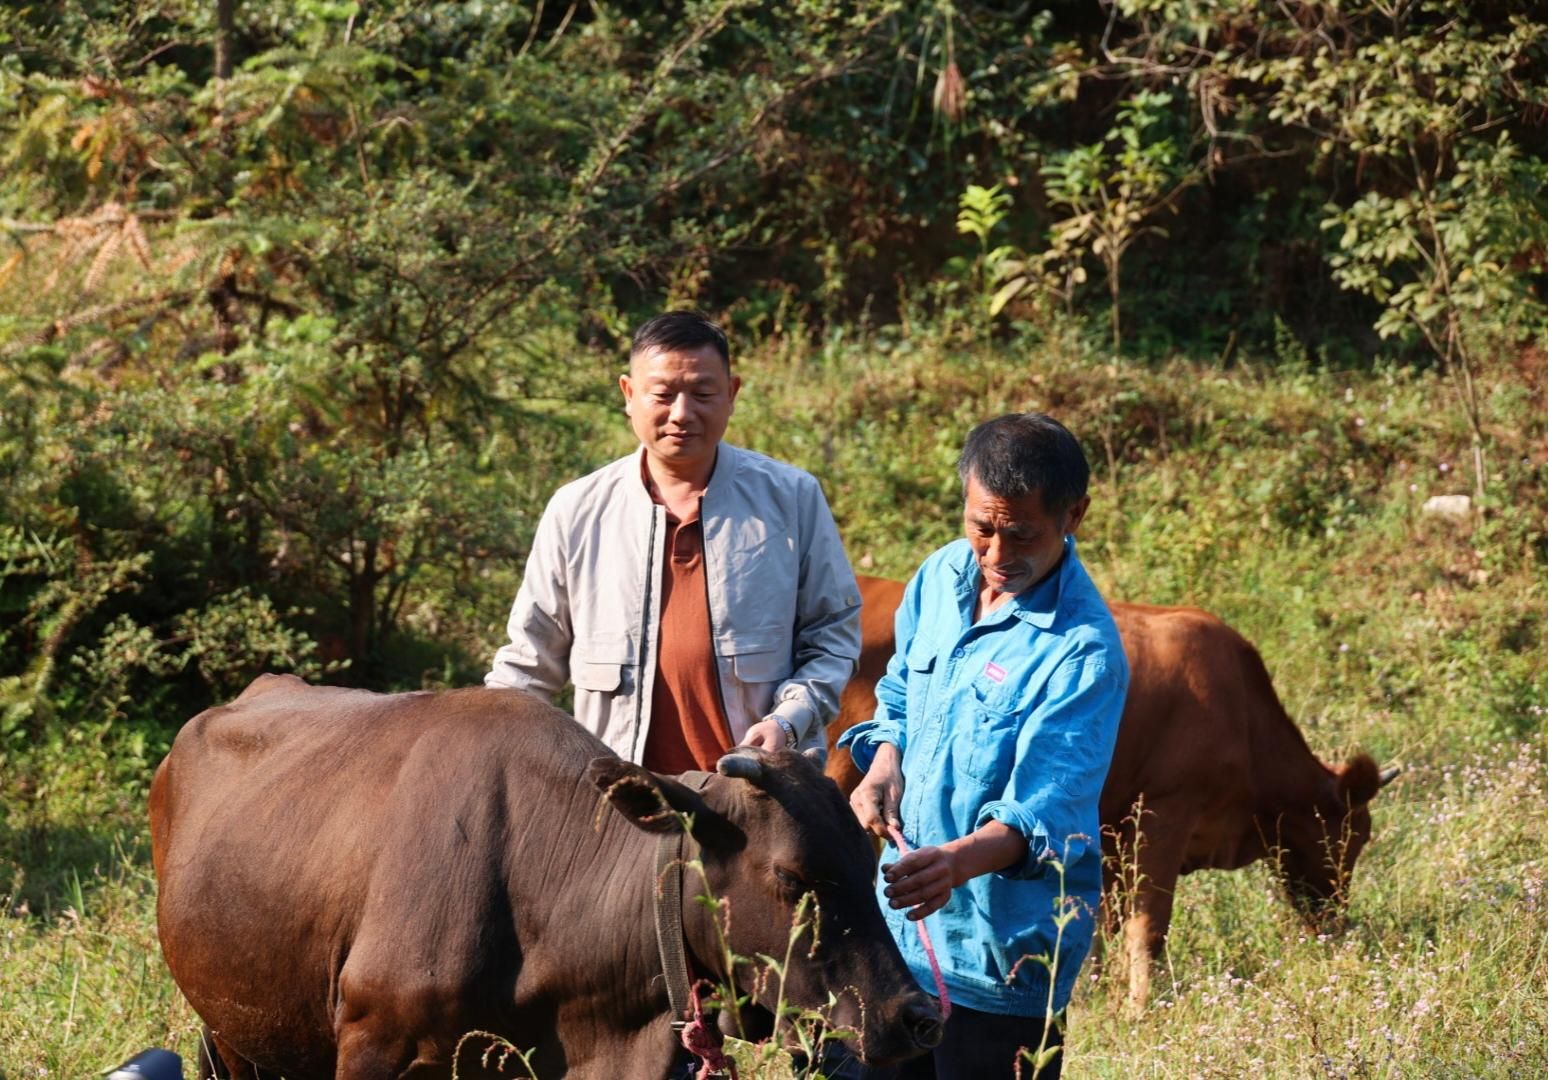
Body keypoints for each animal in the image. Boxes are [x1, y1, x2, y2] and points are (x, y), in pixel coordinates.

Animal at [829, 575, 1399, 1002]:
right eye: (1354, 837)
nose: (1334, 924)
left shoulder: (1108, 833)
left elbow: (1103, 924)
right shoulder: (1165, 814)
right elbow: (1149, 925)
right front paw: (1141, 1007)